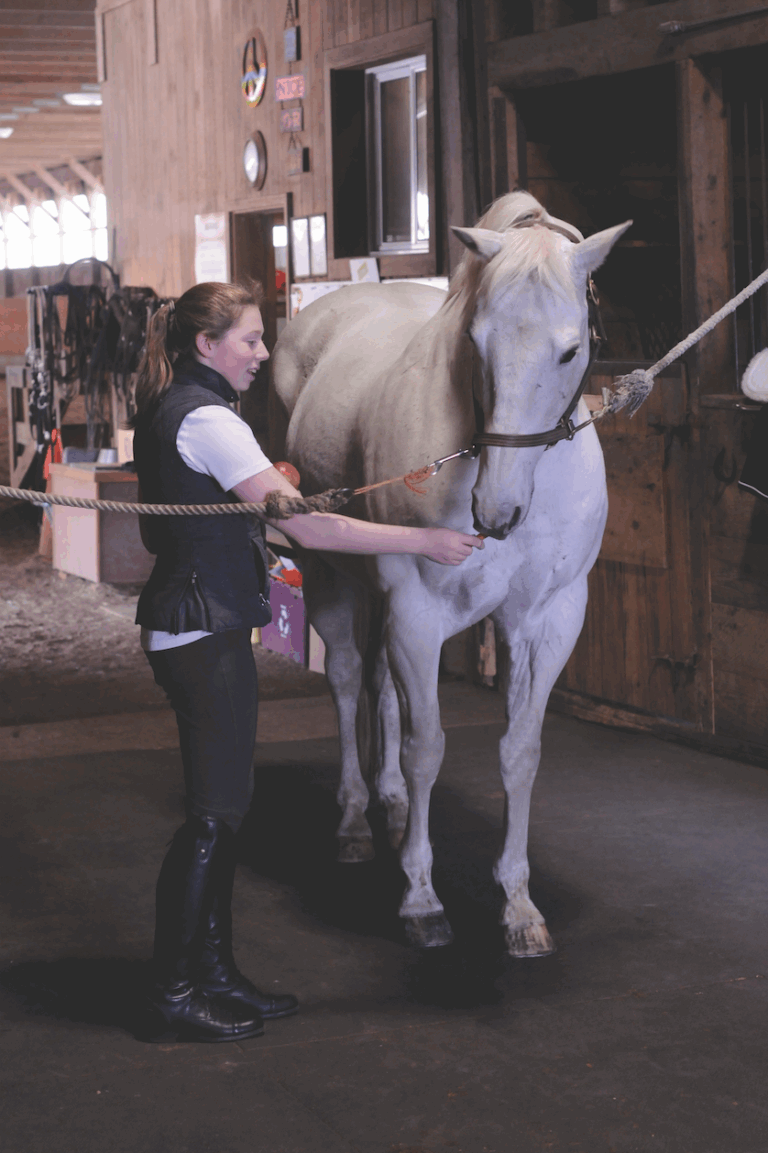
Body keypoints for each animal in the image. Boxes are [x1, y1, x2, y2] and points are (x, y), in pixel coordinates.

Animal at [270, 191, 630, 956]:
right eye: (477, 341)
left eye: (570, 348)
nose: (496, 510)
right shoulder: (417, 611)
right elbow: (426, 747)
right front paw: (421, 899)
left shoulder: (549, 619)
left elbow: (519, 749)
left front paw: (519, 905)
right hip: (330, 574)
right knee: (346, 679)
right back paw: (355, 820)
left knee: (378, 687)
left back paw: (390, 806)